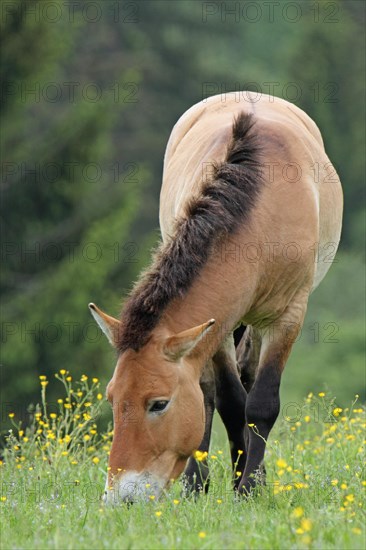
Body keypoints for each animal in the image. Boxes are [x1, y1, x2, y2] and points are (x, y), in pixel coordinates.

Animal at [89, 94, 344, 504]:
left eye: (159, 403)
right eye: (113, 398)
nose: (121, 497)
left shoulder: (288, 317)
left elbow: (261, 402)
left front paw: (251, 486)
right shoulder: (218, 326)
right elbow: (229, 401)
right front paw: (235, 482)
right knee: (210, 392)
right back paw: (197, 482)